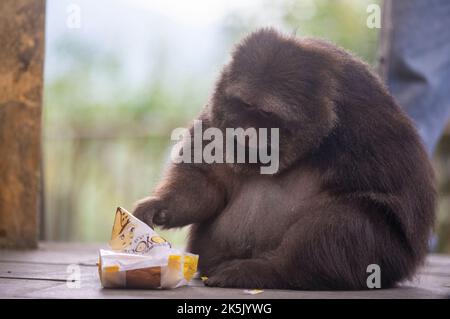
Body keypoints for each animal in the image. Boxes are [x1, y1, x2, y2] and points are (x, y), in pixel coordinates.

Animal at [132, 28, 434, 292]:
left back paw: (269, 271)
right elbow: (209, 182)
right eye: (244, 105)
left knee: (351, 217)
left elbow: (388, 203)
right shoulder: (217, 113)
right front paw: (161, 206)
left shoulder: (364, 113)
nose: (245, 134)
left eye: (266, 114)